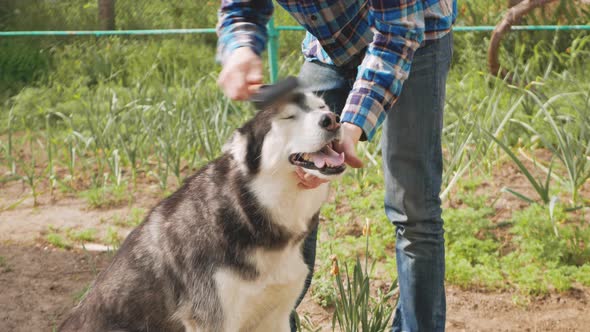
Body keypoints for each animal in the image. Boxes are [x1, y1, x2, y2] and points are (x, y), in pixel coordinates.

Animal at [59, 91, 346, 332]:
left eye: (322, 107)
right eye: (288, 116)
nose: (333, 120)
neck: (252, 211)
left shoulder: (277, 315)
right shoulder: (213, 320)